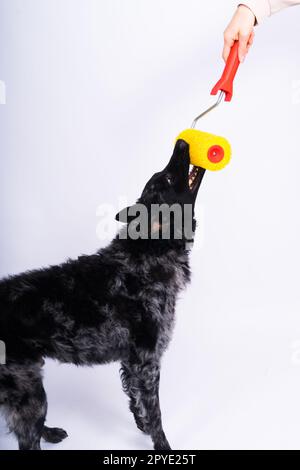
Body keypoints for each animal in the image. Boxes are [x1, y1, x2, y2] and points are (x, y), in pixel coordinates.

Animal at [0, 141, 205, 450]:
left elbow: (136, 401)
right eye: (169, 179)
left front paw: (142, 427)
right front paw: (162, 446)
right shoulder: (148, 361)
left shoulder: (131, 362)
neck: (148, 252)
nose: (181, 143)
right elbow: (155, 412)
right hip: (29, 392)